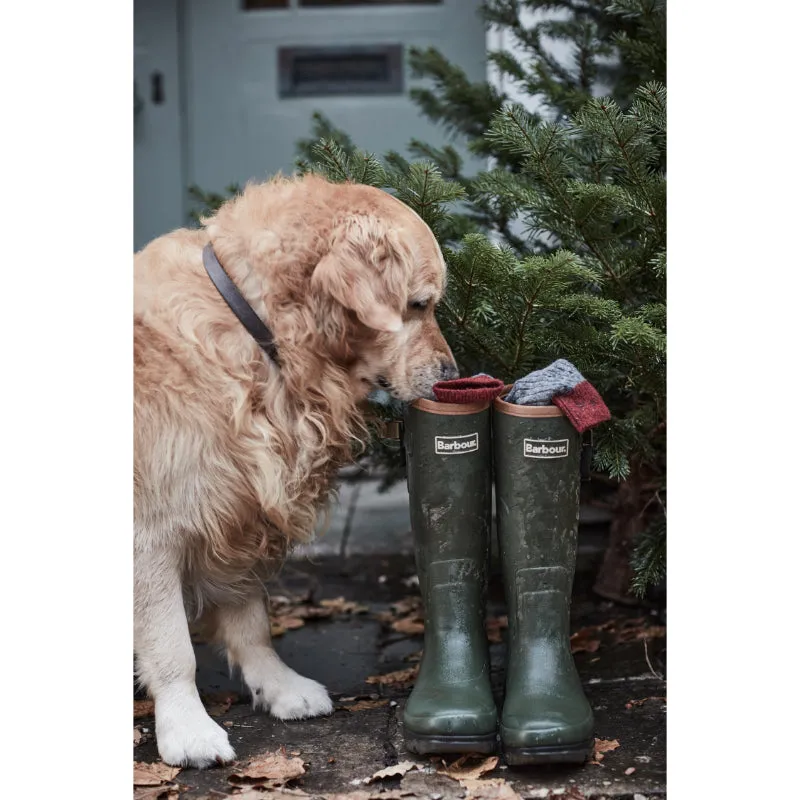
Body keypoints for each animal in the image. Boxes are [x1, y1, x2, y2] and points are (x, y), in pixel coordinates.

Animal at [134, 175, 454, 768]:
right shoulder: (150, 531)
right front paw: (188, 729)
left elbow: (252, 621)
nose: (452, 375)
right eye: (419, 304)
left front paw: (278, 686)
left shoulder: (238, 509)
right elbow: (172, 648)